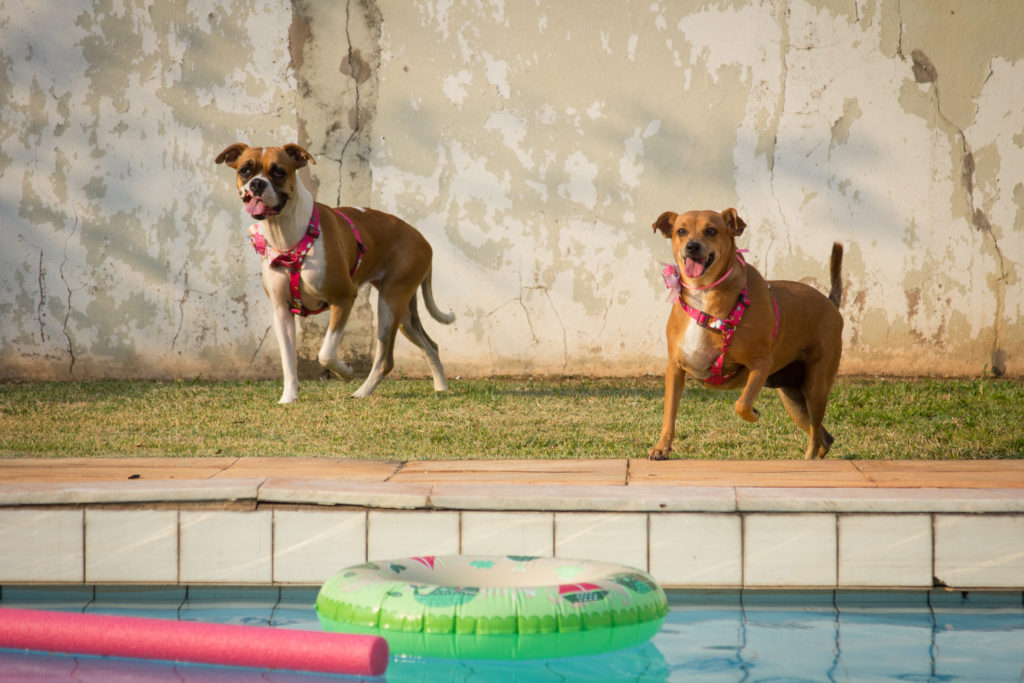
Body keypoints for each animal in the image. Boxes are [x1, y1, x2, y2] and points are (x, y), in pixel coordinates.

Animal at [217, 142, 456, 403]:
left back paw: (361, 392)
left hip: (390, 305)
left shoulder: (343, 298)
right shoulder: (281, 311)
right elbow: (288, 362)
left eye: (278, 171)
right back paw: (441, 388)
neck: (288, 234)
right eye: (245, 170)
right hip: (403, 314)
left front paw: (346, 372)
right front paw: (288, 398)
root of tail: (423, 240)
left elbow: (326, 353)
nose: (257, 184)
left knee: (385, 361)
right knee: (430, 346)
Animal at [651, 208, 843, 462]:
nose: (692, 246)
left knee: (816, 435)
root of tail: (831, 304)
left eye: (711, 230)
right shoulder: (675, 368)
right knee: (824, 437)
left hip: (816, 388)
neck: (704, 295)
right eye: (681, 231)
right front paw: (662, 447)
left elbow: (741, 404)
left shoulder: (760, 364)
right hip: (793, 397)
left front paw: (754, 413)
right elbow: (669, 414)